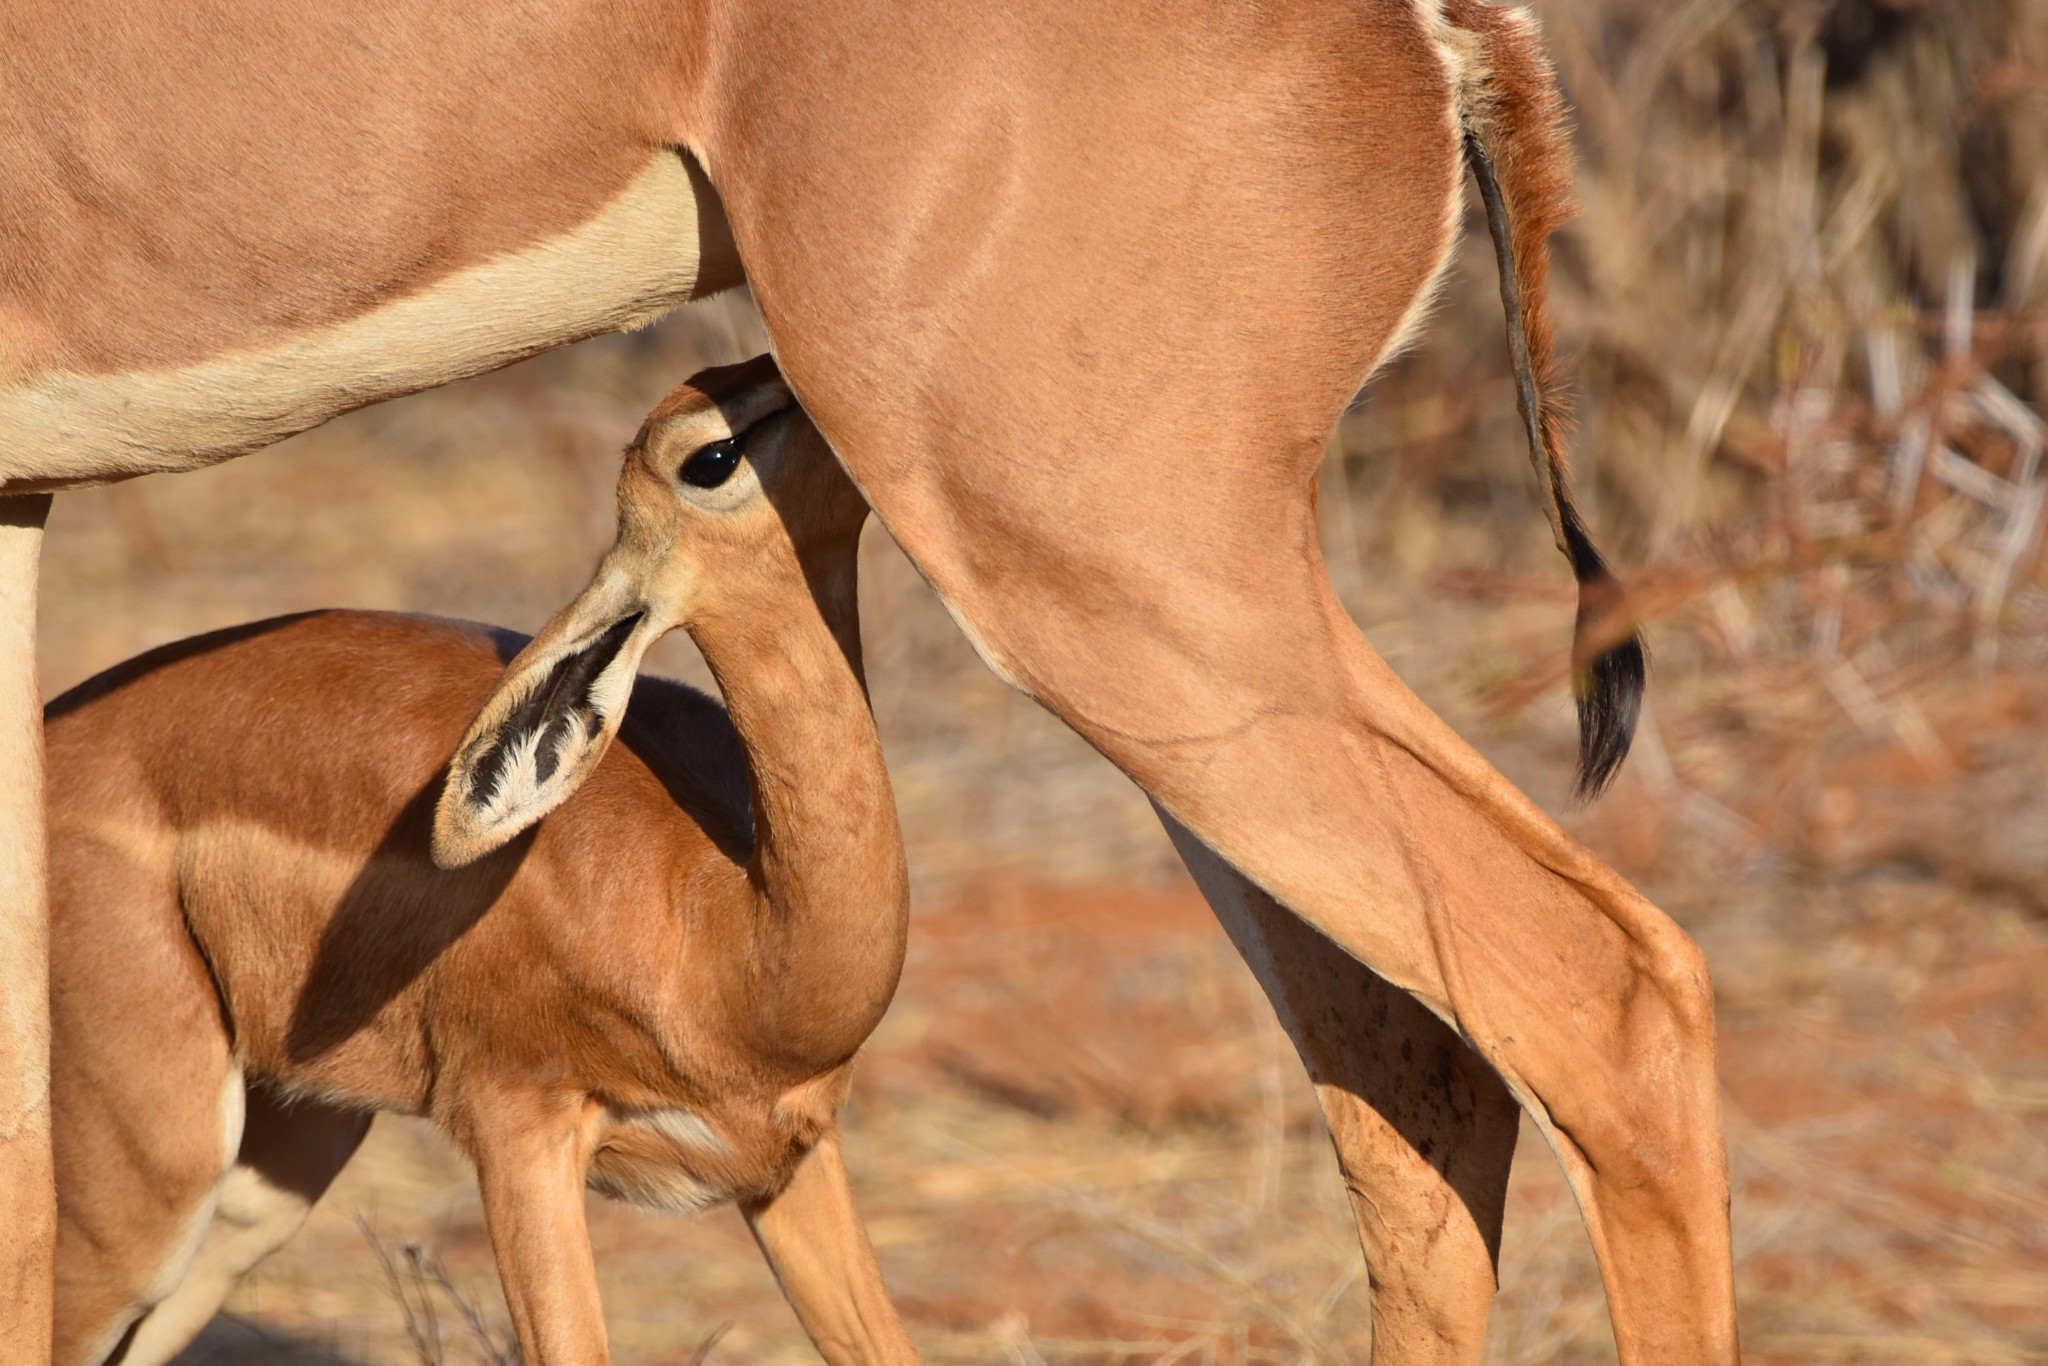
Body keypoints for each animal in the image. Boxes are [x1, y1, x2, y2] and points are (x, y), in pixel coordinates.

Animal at [48, 358, 917, 1359]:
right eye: (712, 454)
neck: (719, 935)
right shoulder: (519, 1133)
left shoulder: (792, 1162)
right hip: (148, 1187)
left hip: (277, 1168)